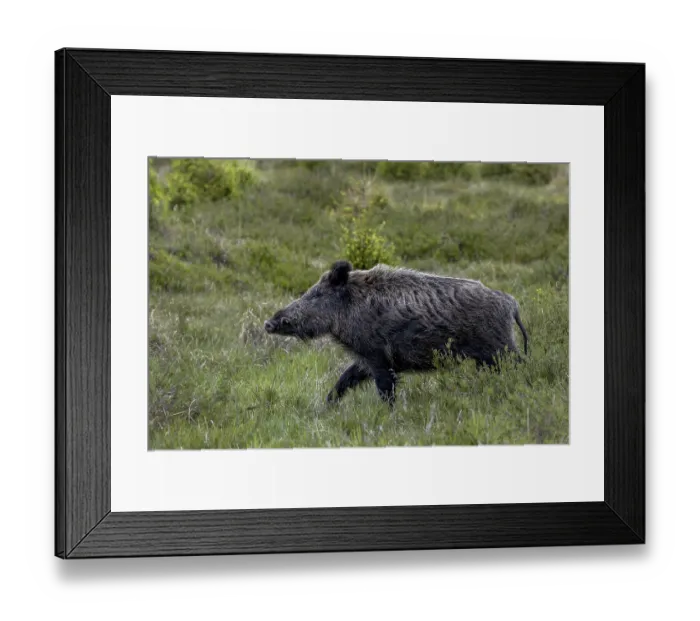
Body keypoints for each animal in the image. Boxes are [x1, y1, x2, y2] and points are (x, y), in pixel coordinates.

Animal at [264, 260, 528, 406]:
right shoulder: (365, 359)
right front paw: (326, 407)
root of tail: (511, 303)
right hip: (487, 358)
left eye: (317, 294)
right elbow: (344, 380)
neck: (350, 306)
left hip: (500, 349)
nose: (268, 323)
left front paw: (389, 416)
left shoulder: (377, 355)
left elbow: (384, 389)